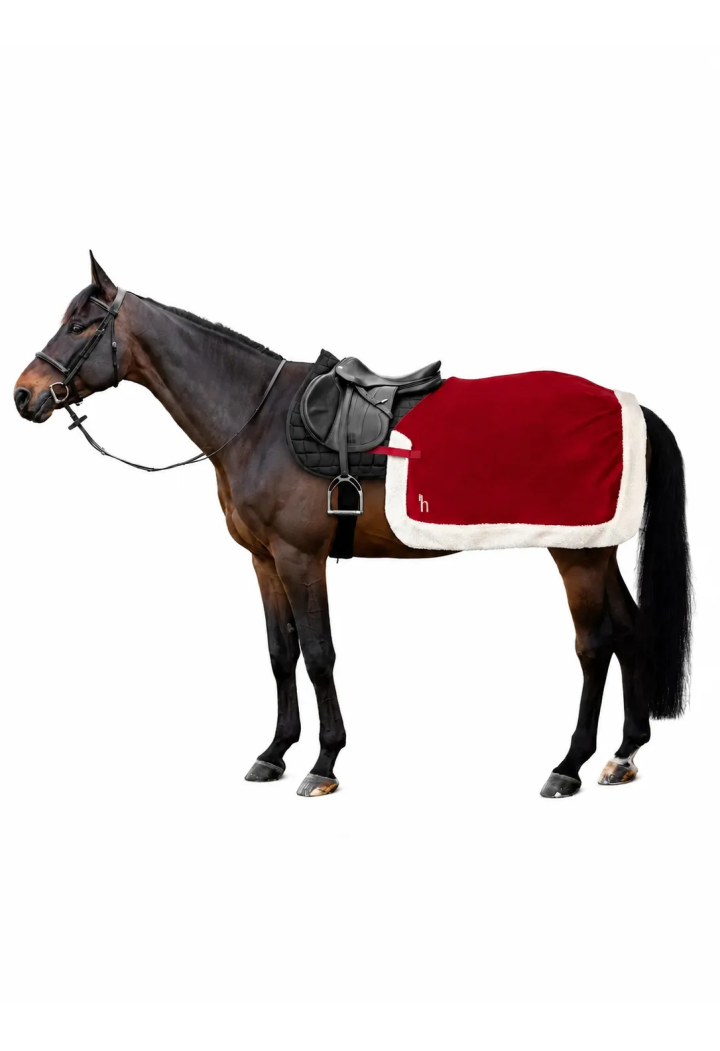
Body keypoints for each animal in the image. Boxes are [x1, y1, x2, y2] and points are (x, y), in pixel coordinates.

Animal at [13, 254, 691, 798]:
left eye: (81, 325)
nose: (24, 395)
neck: (256, 420)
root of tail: (626, 405)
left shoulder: (300, 557)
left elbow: (318, 654)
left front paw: (323, 762)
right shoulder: (264, 560)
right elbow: (280, 652)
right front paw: (274, 752)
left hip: (576, 554)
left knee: (594, 644)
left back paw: (569, 764)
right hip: (595, 549)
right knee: (628, 631)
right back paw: (623, 754)